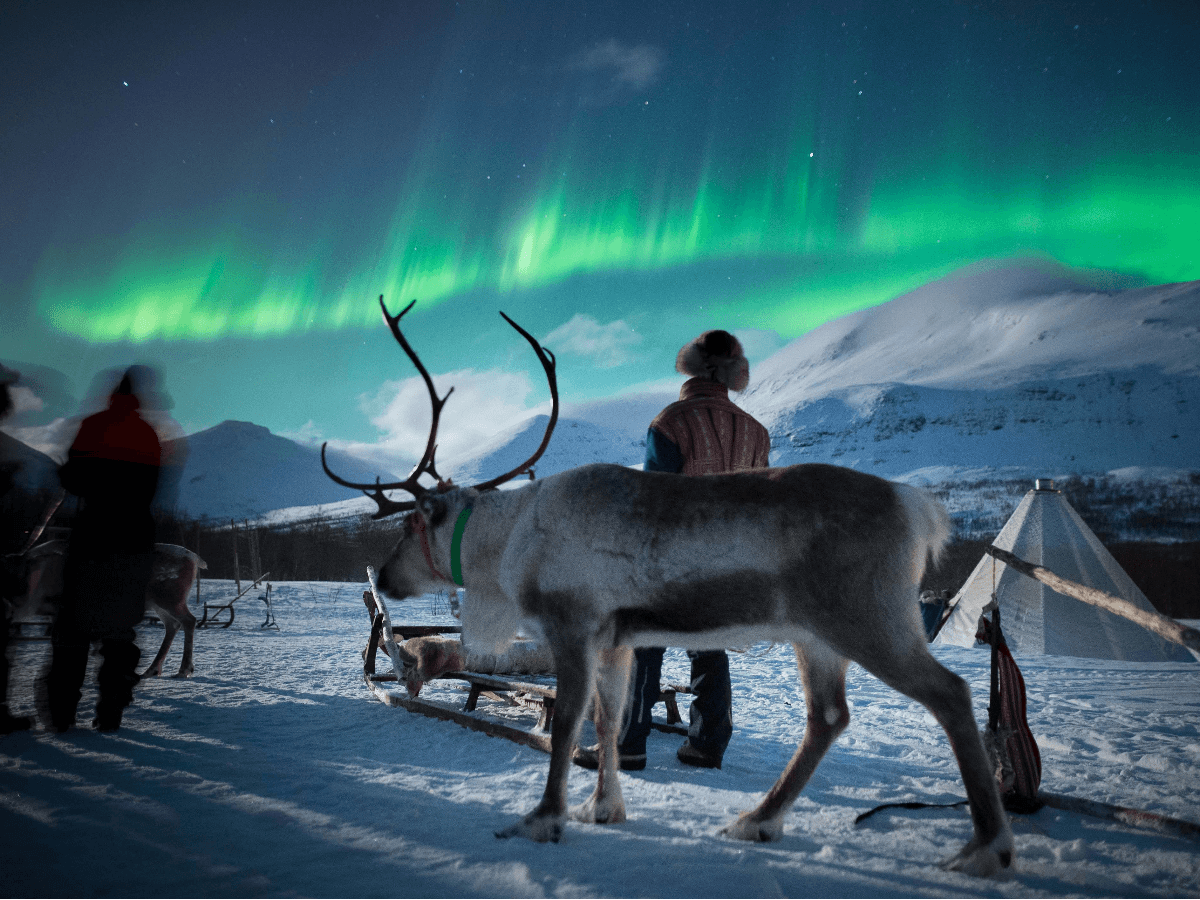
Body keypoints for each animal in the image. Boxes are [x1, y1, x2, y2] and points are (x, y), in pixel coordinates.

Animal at [324, 295, 1013, 876]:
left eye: (410, 523)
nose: (386, 577)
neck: (510, 542)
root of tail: (917, 509)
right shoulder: (617, 639)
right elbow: (608, 721)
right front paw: (603, 809)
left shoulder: (572, 625)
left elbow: (568, 724)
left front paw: (543, 819)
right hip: (815, 636)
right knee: (828, 717)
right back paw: (756, 821)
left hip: (870, 618)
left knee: (950, 694)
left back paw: (985, 846)